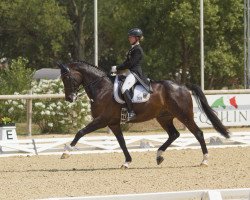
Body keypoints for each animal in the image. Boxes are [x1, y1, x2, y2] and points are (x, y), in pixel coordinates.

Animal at [57, 61, 229, 169]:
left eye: (67, 78)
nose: (69, 98)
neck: (101, 88)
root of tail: (183, 86)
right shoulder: (113, 123)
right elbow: (122, 143)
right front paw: (127, 162)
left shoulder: (102, 120)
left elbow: (80, 132)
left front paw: (66, 152)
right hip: (164, 117)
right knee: (174, 134)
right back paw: (159, 156)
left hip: (184, 115)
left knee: (198, 133)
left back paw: (204, 160)